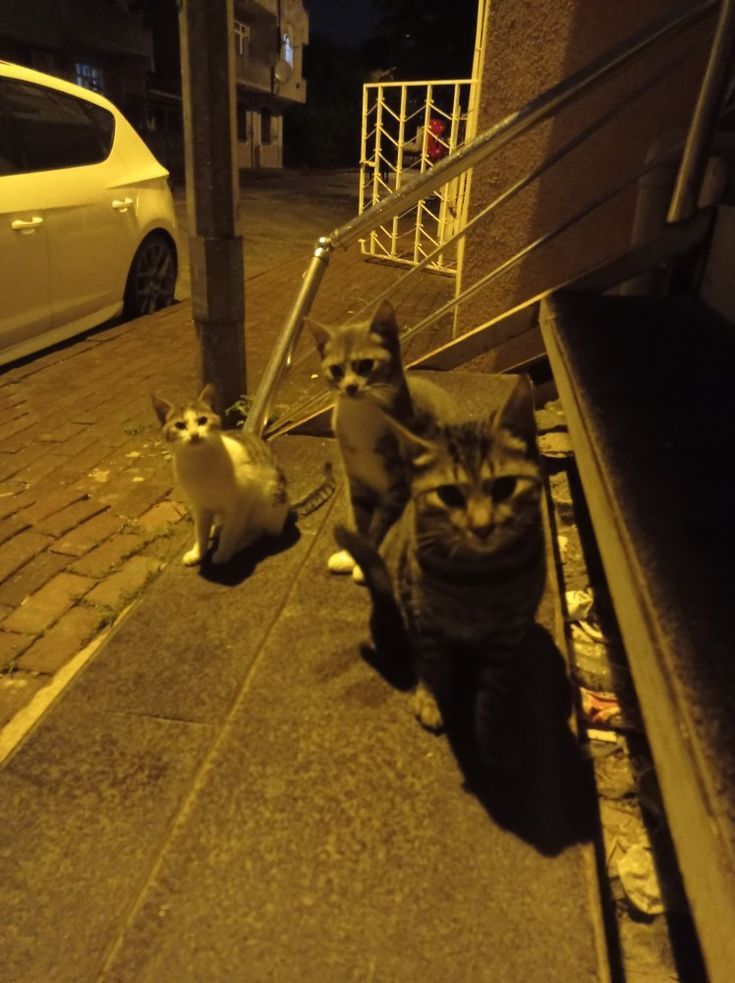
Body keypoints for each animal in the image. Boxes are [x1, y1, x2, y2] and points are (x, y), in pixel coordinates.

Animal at [154, 386, 334, 568]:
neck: (199, 462)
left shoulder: (238, 505)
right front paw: (198, 553)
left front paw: (223, 553)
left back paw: (238, 543)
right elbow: (201, 533)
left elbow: (230, 533)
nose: (195, 435)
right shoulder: (200, 507)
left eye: (202, 420)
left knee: (258, 531)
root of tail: (287, 507)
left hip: (265, 501)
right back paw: (216, 529)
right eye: (180, 425)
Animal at [304, 296, 454, 580]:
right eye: (336, 370)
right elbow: (360, 520)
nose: (350, 387)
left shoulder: (397, 487)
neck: (361, 415)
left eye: (365, 365)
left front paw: (366, 563)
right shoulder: (356, 481)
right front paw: (352, 555)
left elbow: (380, 523)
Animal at [338, 372, 548, 772]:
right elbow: (432, 664)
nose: (483, 527)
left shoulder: (507, 633)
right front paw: (431, 699)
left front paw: (495, 737)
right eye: (448, 494)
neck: (480, 578)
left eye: (505, 486)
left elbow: (493, 689)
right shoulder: (424, 617)